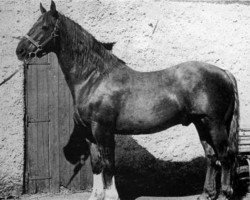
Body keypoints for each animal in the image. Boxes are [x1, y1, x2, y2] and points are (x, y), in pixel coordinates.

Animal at [16, 1, 239, 200]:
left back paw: (224, 194)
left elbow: (108, 164)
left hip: (215, 124)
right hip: (201, 123)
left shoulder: (103, 130)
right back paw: (207, 194)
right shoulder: (90, 133)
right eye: (34, 24)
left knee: (225, 156)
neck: (95, 79)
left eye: (44, 27)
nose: (20, 50)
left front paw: (111, 196)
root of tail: (224, 73)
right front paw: (96, 196)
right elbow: (97, 164)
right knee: (211, 157)